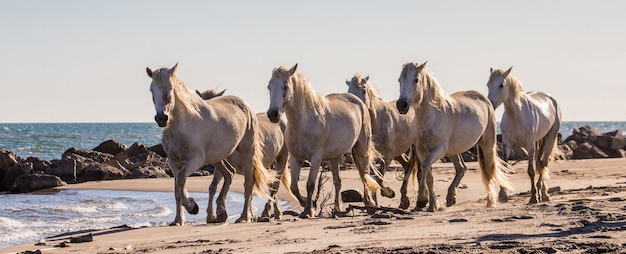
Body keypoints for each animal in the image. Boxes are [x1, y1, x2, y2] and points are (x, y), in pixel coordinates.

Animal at [196, 89, 302, 220]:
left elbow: (249, 187)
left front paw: (248, 215)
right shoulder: (221, 167)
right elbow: (213, 187)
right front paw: (211, 216)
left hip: (281, 159)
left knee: (275, 185)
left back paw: (269, 212)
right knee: (270, 185)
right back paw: (273, 212)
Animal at [264, 63, 380, 218]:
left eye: (285, 86)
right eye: (269, 86)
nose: (273, 114)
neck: (303, 123)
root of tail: (359, 102)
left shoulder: (316, 158)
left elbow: (310, 184)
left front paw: (308, 210)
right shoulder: (295, 158)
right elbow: (294, 187)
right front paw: (308, 204)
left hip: (362, 149)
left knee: (364, 174)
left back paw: (369, 205)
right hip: (334, 157)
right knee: (338, 181)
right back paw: (337, 209)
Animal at [346, 73, 468, 208]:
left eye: (363, 90)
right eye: (349, 91)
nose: (357, 109)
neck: (378, 121)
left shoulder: (387, 155)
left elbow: (379, 178)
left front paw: (389, 193)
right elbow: (368, 176)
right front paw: (373, 203)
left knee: (416, 168)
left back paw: (423, 199)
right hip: (402, 152)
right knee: (408, 166)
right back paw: (409, 200)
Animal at [394, 61, 512, 212]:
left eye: (416, 79)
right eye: (399, 80)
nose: (401, 105)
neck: (432, 116)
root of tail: (486, 100)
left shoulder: (439, 150)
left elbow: (425, 167)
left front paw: (422, 199)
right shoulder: (422, 151)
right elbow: (429, 176)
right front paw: (432, 204)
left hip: (487, 144)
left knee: (489, 169)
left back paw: (490, 201)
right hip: (454, 150)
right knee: (462, 168)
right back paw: (451, 197)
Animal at [482, 67, 560, 204]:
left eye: (501, 85)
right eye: (488, 84)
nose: (490, 103)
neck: (516, 115)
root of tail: (550, 98)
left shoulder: (530, 146)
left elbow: (531, 171)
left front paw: (533, 197)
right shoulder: (507, 145)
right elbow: (505, 167)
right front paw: (503, 195)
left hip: (550, 137)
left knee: (543, 164)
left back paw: (543, 194)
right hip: (538, 142)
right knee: (540, 164)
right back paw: (542, 192)